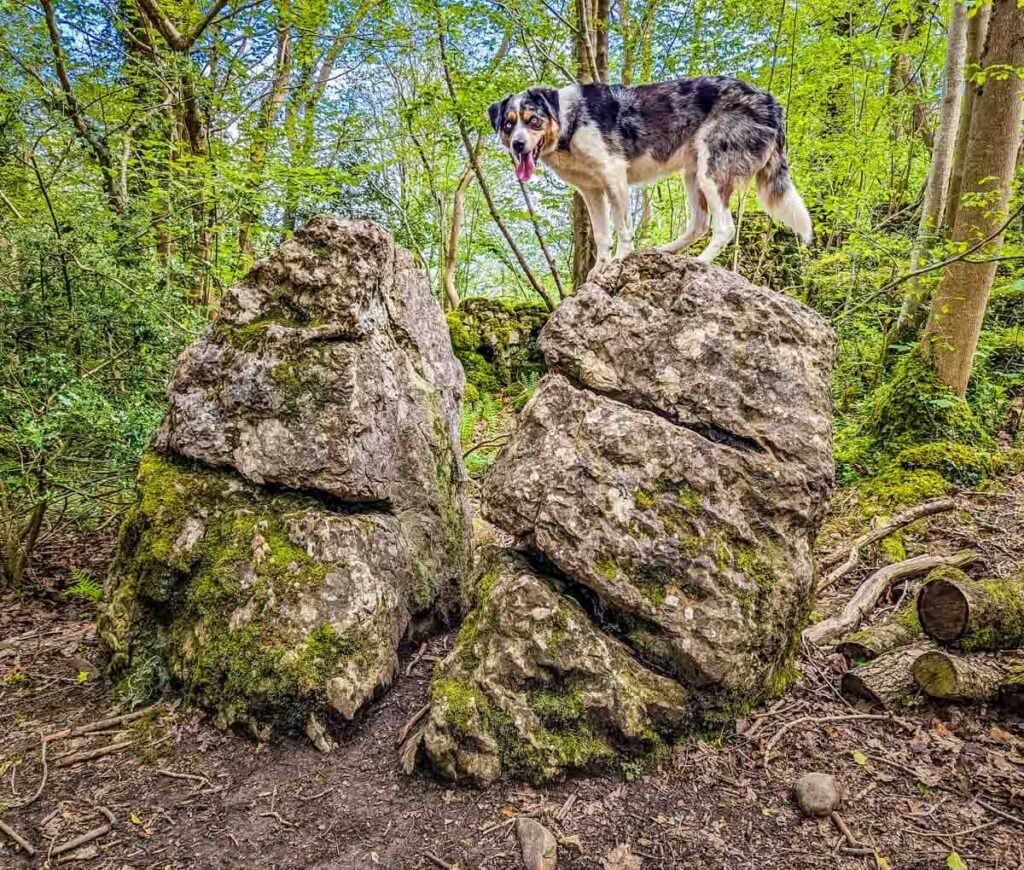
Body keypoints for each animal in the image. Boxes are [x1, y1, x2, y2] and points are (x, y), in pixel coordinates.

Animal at [489, 80, 815, 274]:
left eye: (534, 120)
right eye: (508, 125)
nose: (518, 145)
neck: (570, 119)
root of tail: (769, 101)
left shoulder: (614, 178)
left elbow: (622, 230)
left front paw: (620, 260)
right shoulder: (592, 191)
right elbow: (602, 235)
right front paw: (599, 271)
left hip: (712, 172)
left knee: (724, 228)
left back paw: (699, 263)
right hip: (693, 175)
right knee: (699, 225)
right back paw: (666, 251)